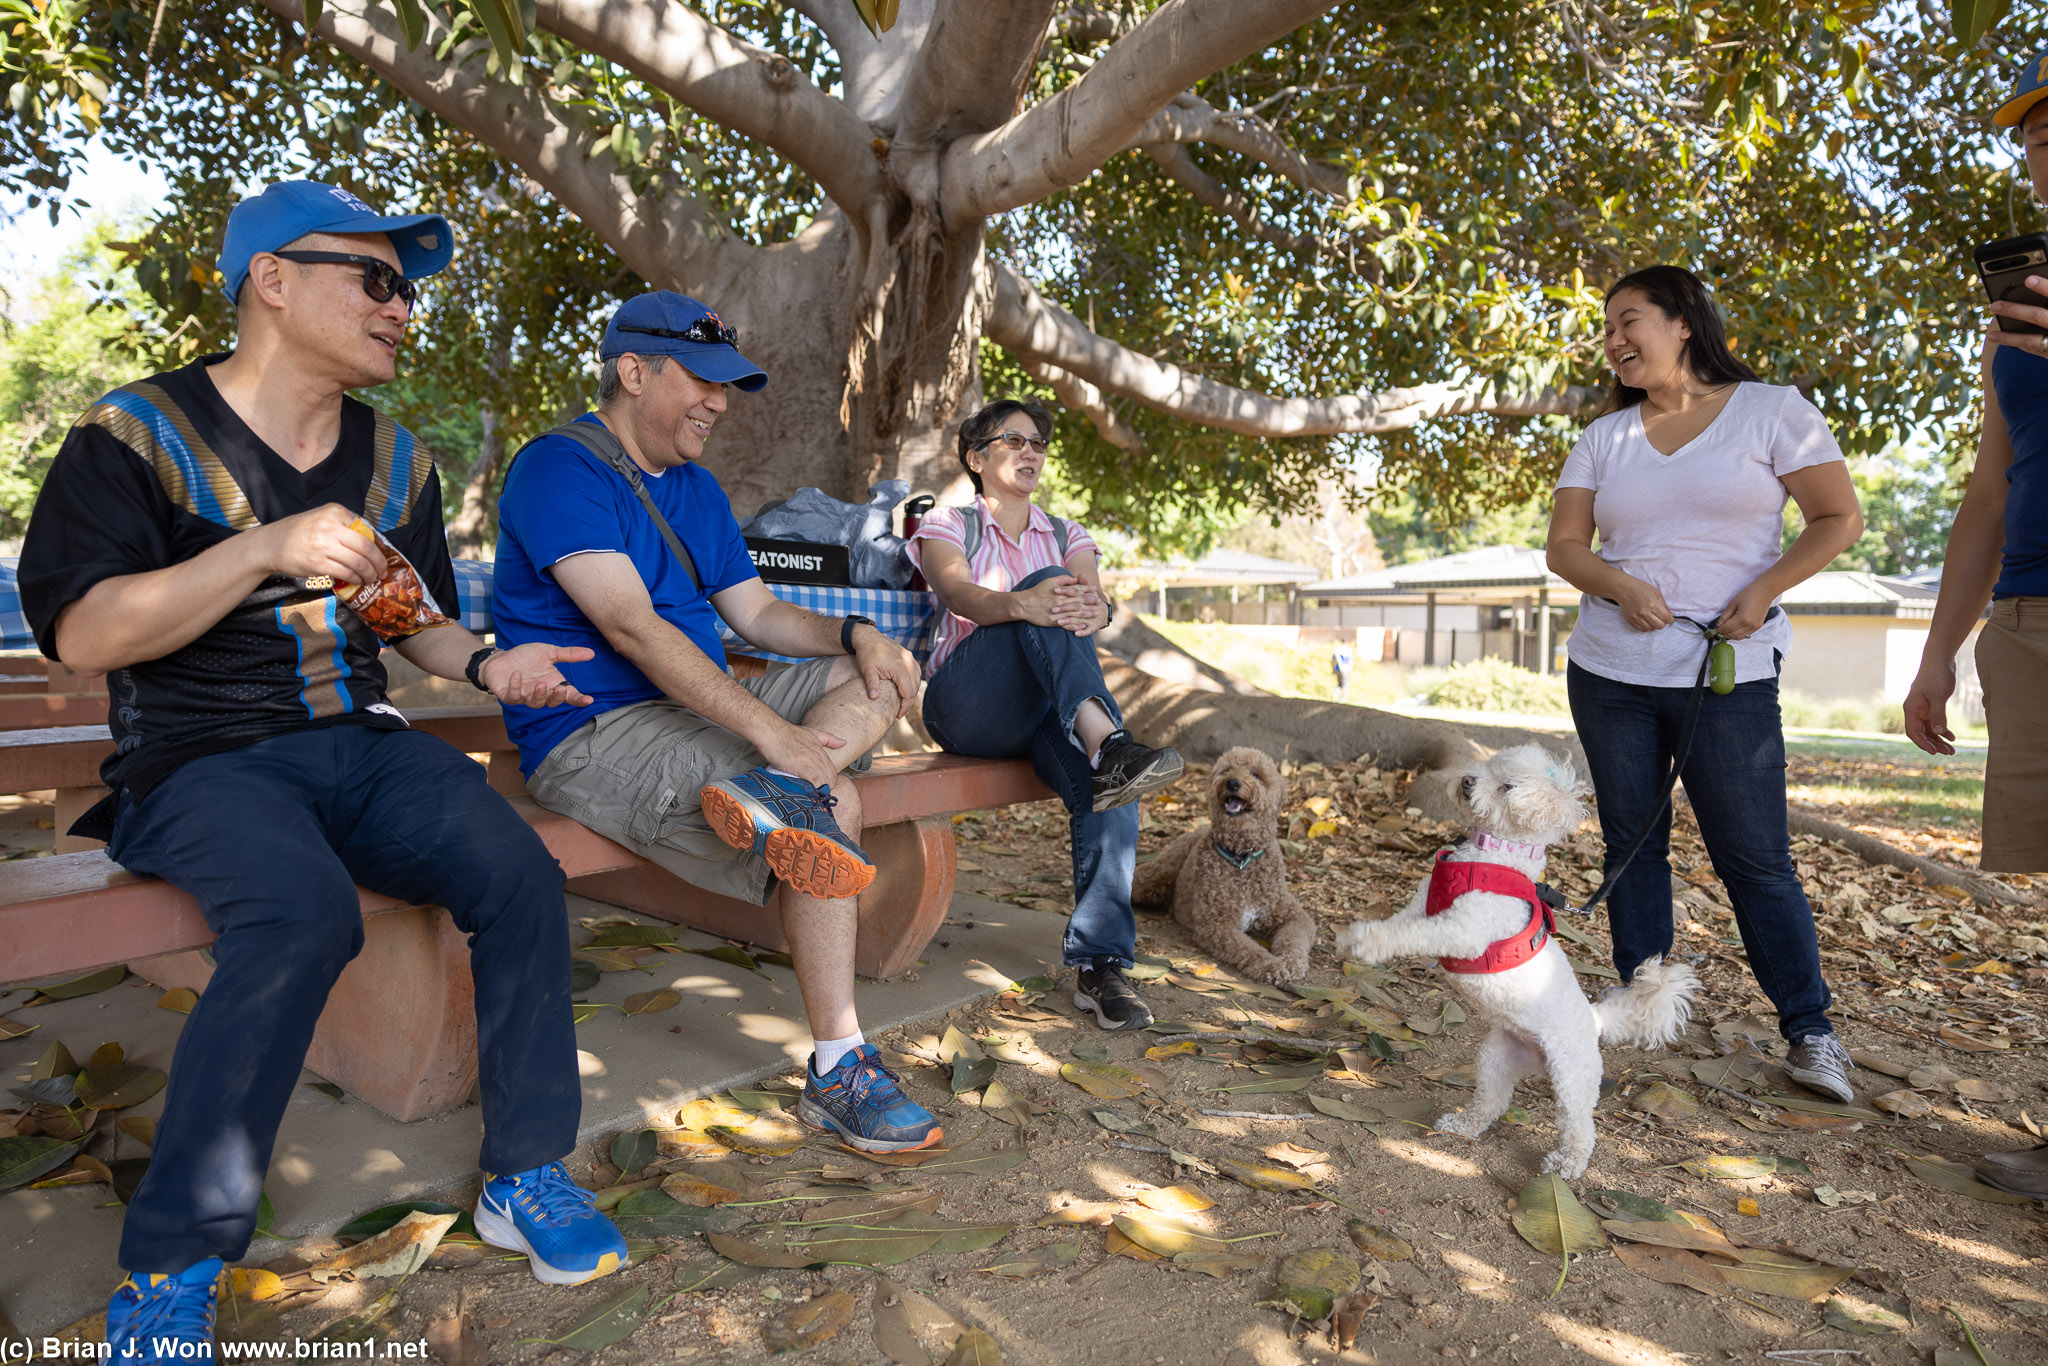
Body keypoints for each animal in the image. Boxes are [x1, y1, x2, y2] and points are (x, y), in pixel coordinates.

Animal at [1122, 749, 1310, 983]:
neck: (1241, 858)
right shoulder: (1217, 925)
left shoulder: (1293, 916)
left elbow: (1294, 940)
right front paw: (1270, 965)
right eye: (1226, 770)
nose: (1233, 782)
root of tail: (1194, 830)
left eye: (1256, 774)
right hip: (1156, 875)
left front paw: (1292, 962)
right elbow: (1248, 948)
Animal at [1327, 741, 1695, 1179]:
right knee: (1491, 1101)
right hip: (1495, 1059)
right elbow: (1398, 926)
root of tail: (1594, 1020)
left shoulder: (1462, 931)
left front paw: (1367, 943)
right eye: (1487, 768)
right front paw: (1360, 939)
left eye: (1507, 787)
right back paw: (1462, 1126)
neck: (1491, 854)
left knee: (1580, 1126)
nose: (1467, 780)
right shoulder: (1420, 906)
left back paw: (1567, 1164)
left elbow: (1414, 935)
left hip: (1572, 1076)